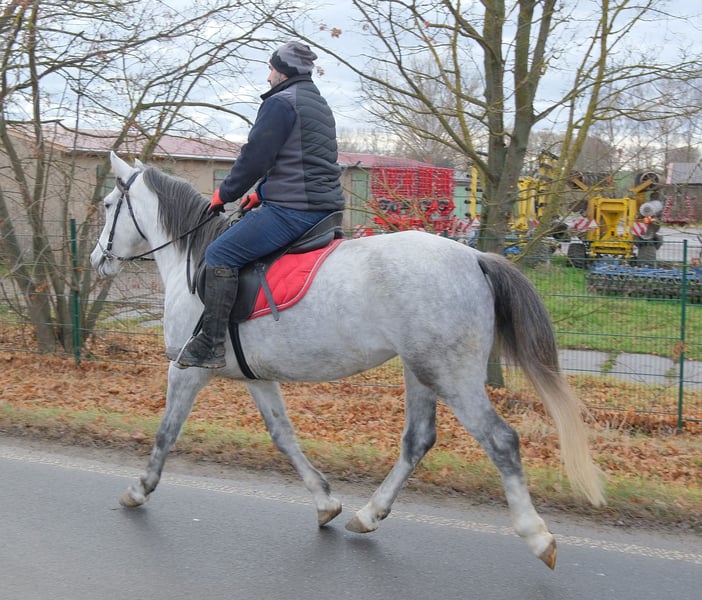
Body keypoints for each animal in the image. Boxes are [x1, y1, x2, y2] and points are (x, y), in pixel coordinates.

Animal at [90, 151, 605, 569]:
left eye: (109, 205)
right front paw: (325, 502)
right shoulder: (258, 378)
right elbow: (284, 436)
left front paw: (138, 489)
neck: (192, 262)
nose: (97, 259)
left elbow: (166, 432)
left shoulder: (189, 369)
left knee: (500, 441)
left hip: (451, 376)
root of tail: (475, 257)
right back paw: (368, 515)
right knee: (418, 441)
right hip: (421, 371)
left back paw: (537, 537)